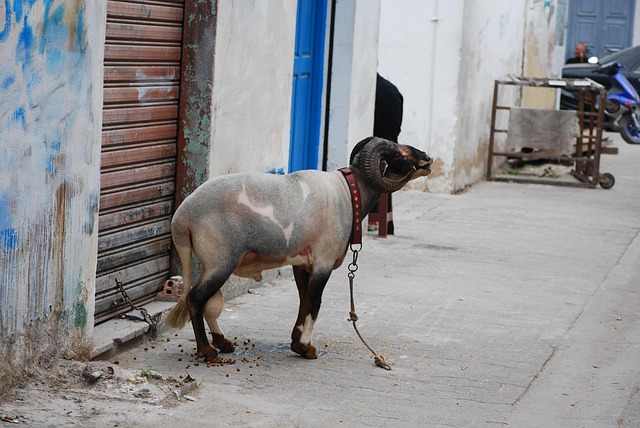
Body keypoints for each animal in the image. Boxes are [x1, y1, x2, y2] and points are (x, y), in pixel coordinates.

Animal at [165, 137, 432, 362]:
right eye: (399, 153)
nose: (428, 159)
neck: (347, 194)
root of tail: (181, 218)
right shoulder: (323, 262)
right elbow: (315, 302)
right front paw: (307, 349)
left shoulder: (302, 264)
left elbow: (303, 300)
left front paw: (296, 342)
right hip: (220, 261)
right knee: (197, 299)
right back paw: (207, 351)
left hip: (211, 262)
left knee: (207, 302)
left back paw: (223, 343)